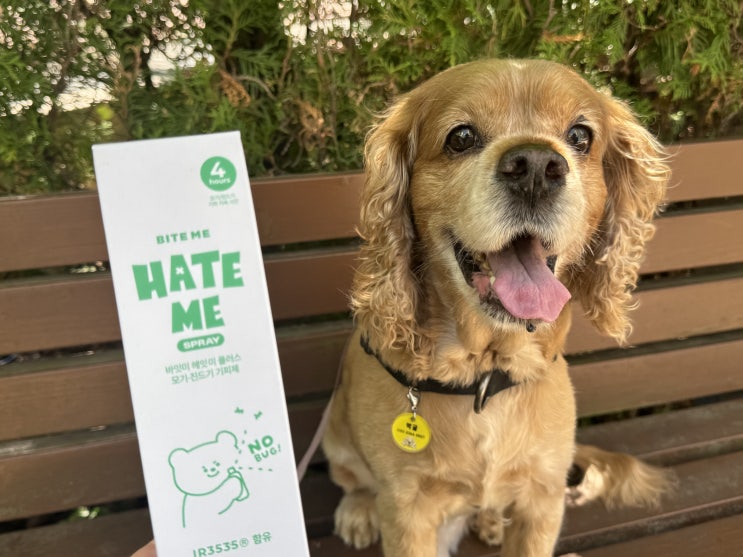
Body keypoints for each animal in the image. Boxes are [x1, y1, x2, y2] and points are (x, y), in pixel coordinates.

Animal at [321, 59, 673, 557]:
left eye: (580, 136)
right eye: (461, 137)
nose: (536, 168)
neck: (484, 374)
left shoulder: (545, 500)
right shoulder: (406, 511)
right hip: (335, 435)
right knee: (352, 480)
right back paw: (357, 511)